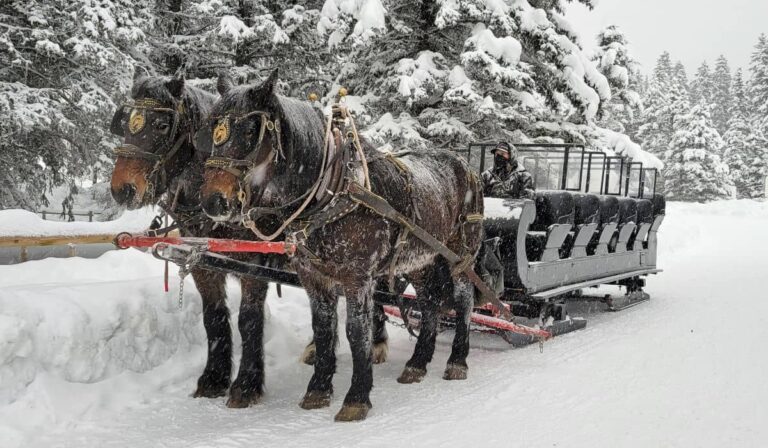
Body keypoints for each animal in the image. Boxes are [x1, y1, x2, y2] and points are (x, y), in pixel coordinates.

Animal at [109, 68, 280, 407]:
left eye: (162, 124)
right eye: (126, 121)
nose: (122, 188)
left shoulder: (255, 265)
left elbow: (248, 318)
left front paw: (246, 385)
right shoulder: (203, 264)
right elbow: (213, 317)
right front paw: (213, 378)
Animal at [200, 70, 483, 421]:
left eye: (251, 130)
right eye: (214, 128)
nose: (213, 201)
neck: (332, 191)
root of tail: (466, 165)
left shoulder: (357, 277)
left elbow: (356, 332)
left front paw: (357, 397)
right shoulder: (314, 277)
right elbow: (323, 329)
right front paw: (318, 389)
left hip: (461, 256)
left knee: (464, 301)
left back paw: (457, 360)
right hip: (421, 259)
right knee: (429, 301)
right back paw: (417, 363)